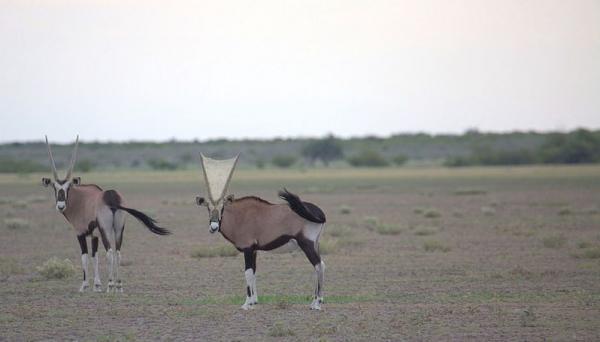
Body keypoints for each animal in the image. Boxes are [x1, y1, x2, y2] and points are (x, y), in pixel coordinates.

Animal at [41, 136, 170, 292]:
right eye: (54, 187)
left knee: (109, 252)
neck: (80, 199)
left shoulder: (81, 233)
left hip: (106, 230)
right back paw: (119, 286)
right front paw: (97, 285)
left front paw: (85, 286)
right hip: (119, 229)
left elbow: (85, 257)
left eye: (68, 187)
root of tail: (111, 197)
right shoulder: (94, 235)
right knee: (118, 252)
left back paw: (110, 285)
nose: (60, 206)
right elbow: (94, 256)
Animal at [196, 155, 328, 310]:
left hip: (306, 243)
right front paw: (254, 301)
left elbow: (248, 272)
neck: (239, 216)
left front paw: (247, 303)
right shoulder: (254, 250)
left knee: (319, 265)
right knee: (319, 265)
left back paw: (316, 303)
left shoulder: (248, 249)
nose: (214, 226)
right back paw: (316, 301)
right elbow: (254, 272)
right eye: (208, 208)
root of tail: (318, 212)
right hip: (315, 244)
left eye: (222, 207)